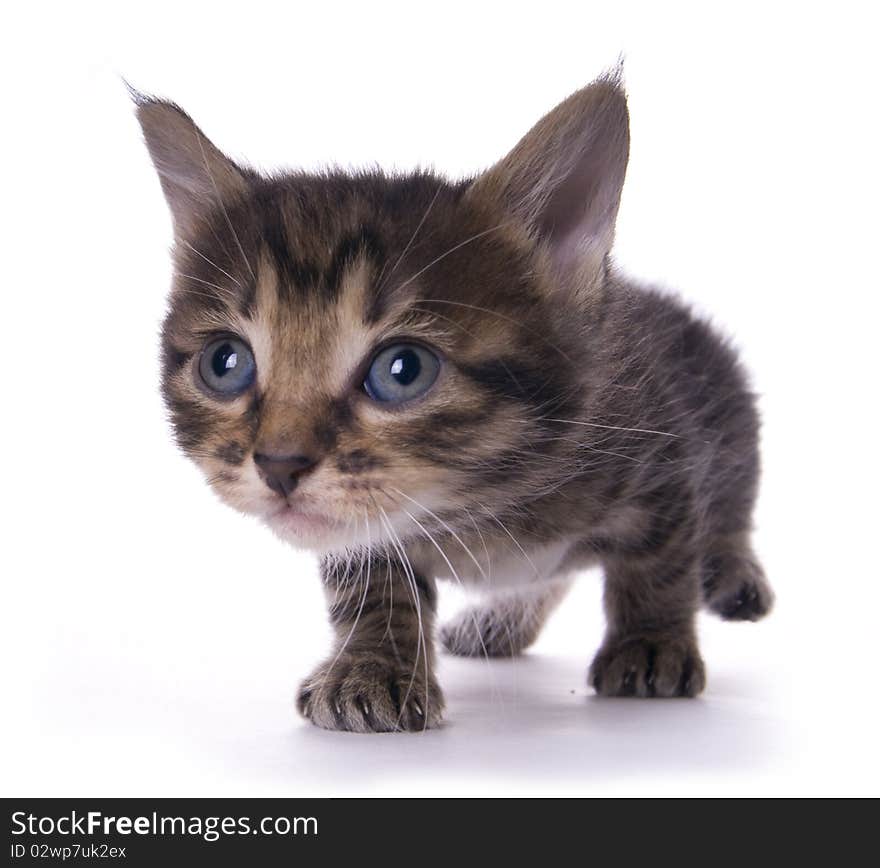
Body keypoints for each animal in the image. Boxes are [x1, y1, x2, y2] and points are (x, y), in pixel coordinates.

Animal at [136, 71, 768, 732]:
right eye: (225, 363)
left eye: (403, 371)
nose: (279, 465)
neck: (475, 510)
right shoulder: (361, 528)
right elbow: (373, 584)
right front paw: (371, 666)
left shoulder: (660, 444)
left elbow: (660, 557)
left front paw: (651, 642)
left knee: (730, 503)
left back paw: (732, 574)